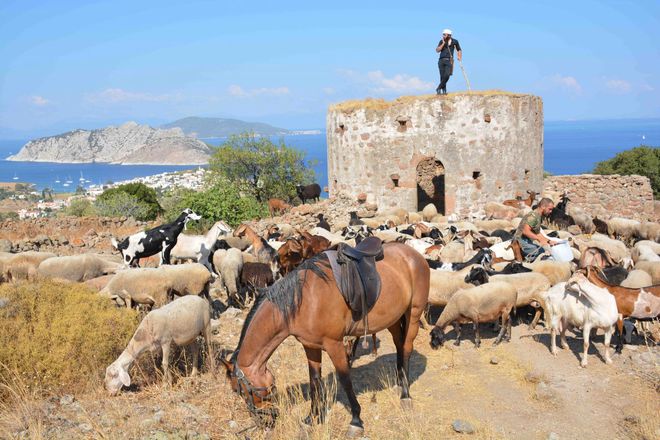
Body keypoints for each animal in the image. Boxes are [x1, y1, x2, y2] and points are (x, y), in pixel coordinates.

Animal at [219, 242, 430, 434]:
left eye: (239, 390)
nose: (265, 422)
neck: (303, 300)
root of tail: (414, 254)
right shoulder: (310, 346)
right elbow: (315, 382)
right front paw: (311, 418)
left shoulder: (334, 344)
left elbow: (345, 379)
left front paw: (356, 420)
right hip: (393, 319)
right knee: (399, 346)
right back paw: (399, 383)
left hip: (413, 315)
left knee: (407, 348)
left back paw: (405, 395)